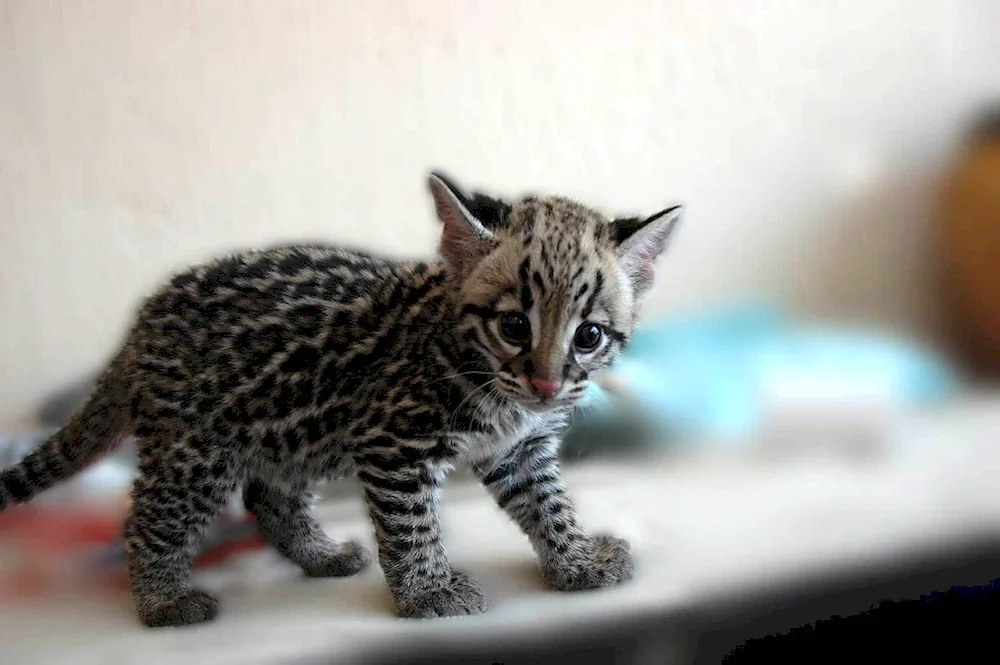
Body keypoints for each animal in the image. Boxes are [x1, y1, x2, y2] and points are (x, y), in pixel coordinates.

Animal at [0, 172, 680, 628]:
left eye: (588, 335)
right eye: (513, 325)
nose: (546, 386)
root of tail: (141, 323)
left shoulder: (521, 450)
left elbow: (549, 504)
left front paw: (576, 560)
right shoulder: (392, 441)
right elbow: (411, 523)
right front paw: (427, 592)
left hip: (289, 431)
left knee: (269, 498)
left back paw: (318, 556)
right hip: (197, 447)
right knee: (149, 516)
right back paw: (163, 599)